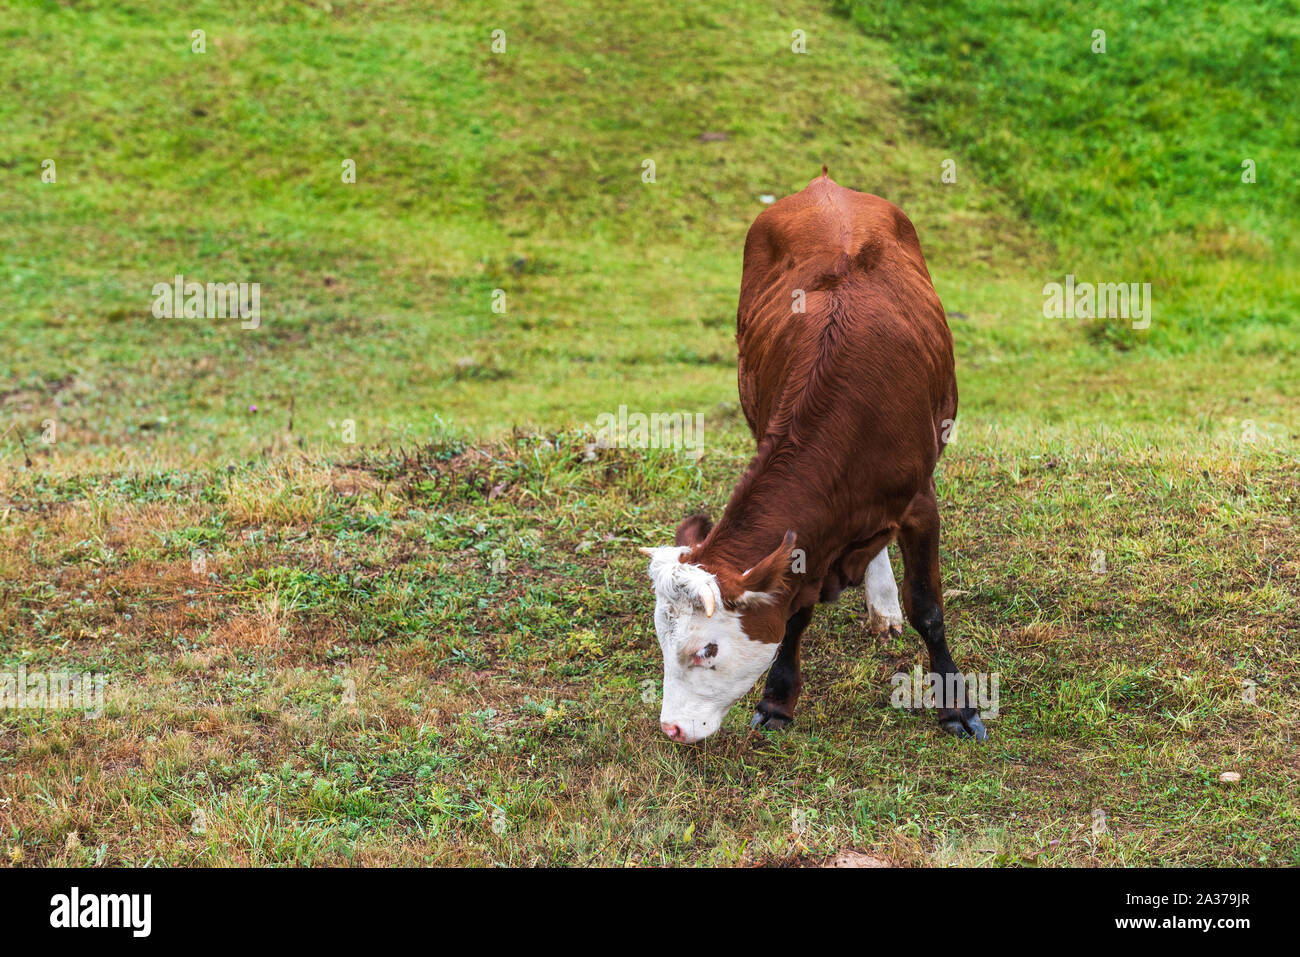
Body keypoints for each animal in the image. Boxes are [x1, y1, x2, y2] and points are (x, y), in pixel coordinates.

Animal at [639, 167, 982, 743]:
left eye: (707, 649)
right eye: (664, 642)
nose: (672, 728)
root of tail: (825, 185)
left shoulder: (920, 502)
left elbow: (929, 607)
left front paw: (956, 704)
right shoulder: (804, 545)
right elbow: (795, 609)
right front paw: (778, 698)